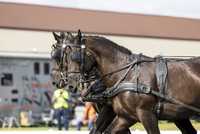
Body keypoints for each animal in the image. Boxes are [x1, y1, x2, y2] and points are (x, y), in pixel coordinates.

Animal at [50, 31, 198, 134]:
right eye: (57, 55)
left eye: (75, 57)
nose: (62, 82)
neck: (125, 74)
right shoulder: (125, 116)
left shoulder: (144, 114)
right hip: (179, 115)